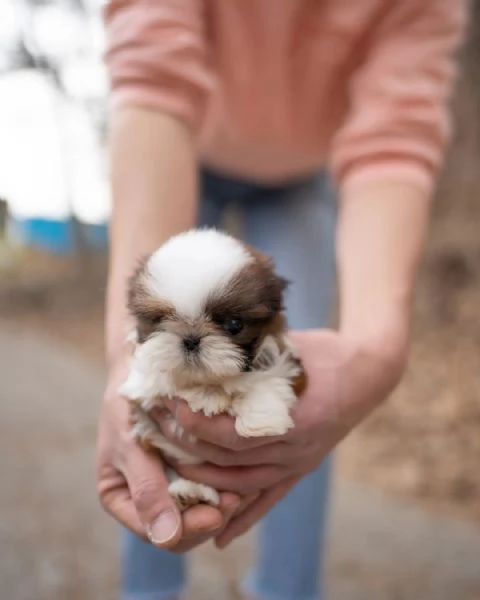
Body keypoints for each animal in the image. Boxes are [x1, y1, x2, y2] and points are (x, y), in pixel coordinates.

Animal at [120, 227, 308, 508]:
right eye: (160, 320)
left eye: (234, 324)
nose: (190, 339)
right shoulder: (140, 386)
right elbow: (156, 380)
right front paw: (203, 394)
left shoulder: (285, 356)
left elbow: (269, 377)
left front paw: (261, 420)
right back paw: (190, 490)